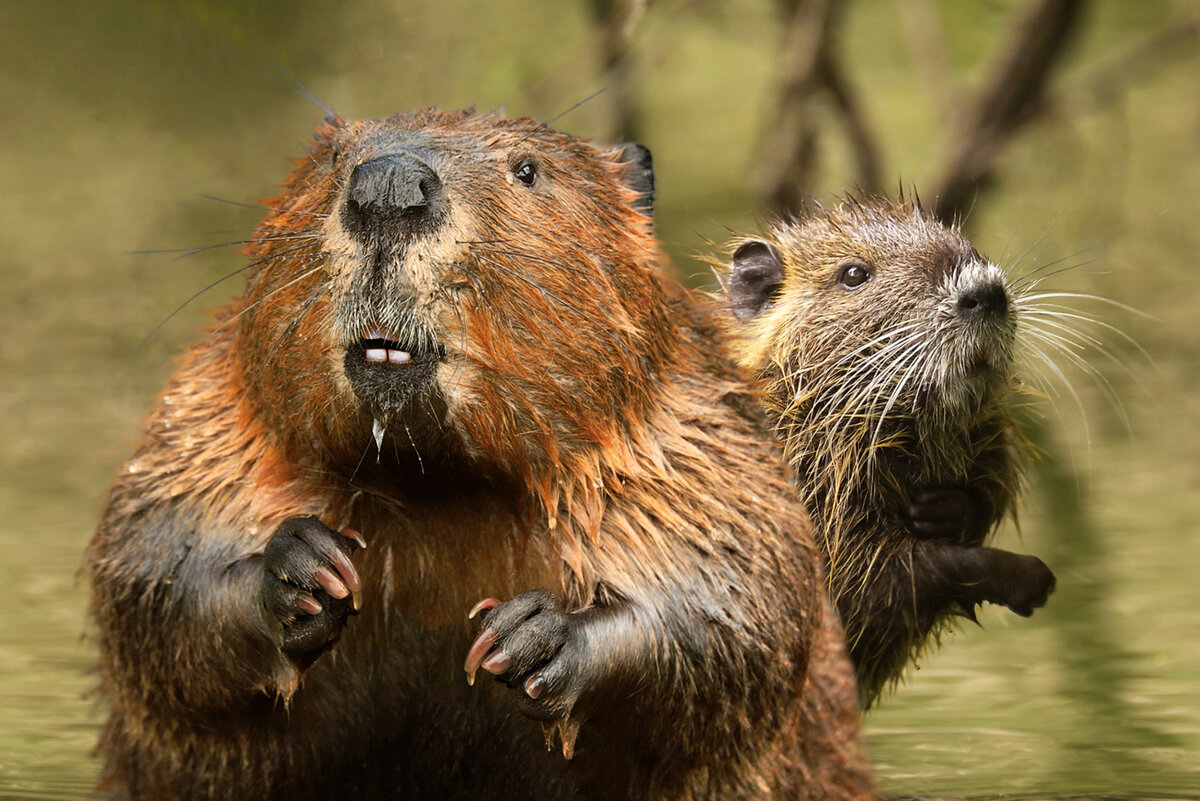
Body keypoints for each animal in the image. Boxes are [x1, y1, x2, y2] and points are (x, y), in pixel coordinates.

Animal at [84, 109, 873, 801]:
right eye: (333, 156)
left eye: (527, 170)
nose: (389, 185)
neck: (438, 488)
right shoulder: (210, 419)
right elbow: (150, 561)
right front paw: (306, 570)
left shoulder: (692, 436)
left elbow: (741, 603)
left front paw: (531, 637)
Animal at [724, 196, 1056, 705]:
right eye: (853, 273)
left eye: (967, 243)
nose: (985, 292)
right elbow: (878, 582)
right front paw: (1028, 577)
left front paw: (946, 508)